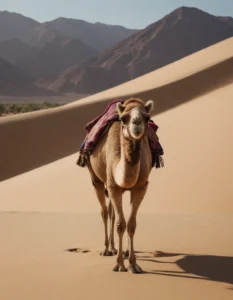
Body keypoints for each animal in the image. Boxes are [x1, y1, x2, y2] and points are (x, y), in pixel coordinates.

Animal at [86, 98, 154, 274]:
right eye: (123, 118)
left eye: (147, 118)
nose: (136, 123)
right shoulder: (113, 186)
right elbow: (120, 224)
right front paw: (119, 265)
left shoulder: (141, 187)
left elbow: (131, 224)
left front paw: (133, 264)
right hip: (96, 178)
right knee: (105, 212)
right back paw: (106, 249)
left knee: (112, 212)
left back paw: (118, 249)